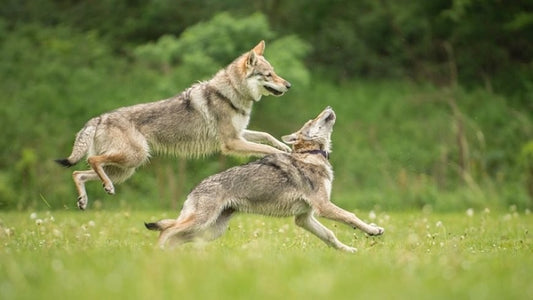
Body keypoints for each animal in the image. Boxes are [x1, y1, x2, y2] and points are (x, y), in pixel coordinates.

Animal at [56, 40, 290, 211]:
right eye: (268, 74)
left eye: (274, 72)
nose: (289, 85)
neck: (231, 93)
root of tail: (100, 118)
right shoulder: (232, 142)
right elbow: (265, 147)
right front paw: (284, 155)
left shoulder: (239, 134)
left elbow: (267, 136)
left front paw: (285, 147)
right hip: (133, 158)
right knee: (91, 161)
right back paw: (105, 187)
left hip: (125, 170)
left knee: (78, 173)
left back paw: (85, 199)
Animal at [145, 106, 384, 252]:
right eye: (311, 121)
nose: (328, 108)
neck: (311, 154)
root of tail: (194, 189)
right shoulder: (323, 207)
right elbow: (352, 217)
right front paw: (374, 230)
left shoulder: (304, 218)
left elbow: (330, 237)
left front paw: (349, 251)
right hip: (201, 223)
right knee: (166, 231)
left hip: (208, 231)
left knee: (172, 236)